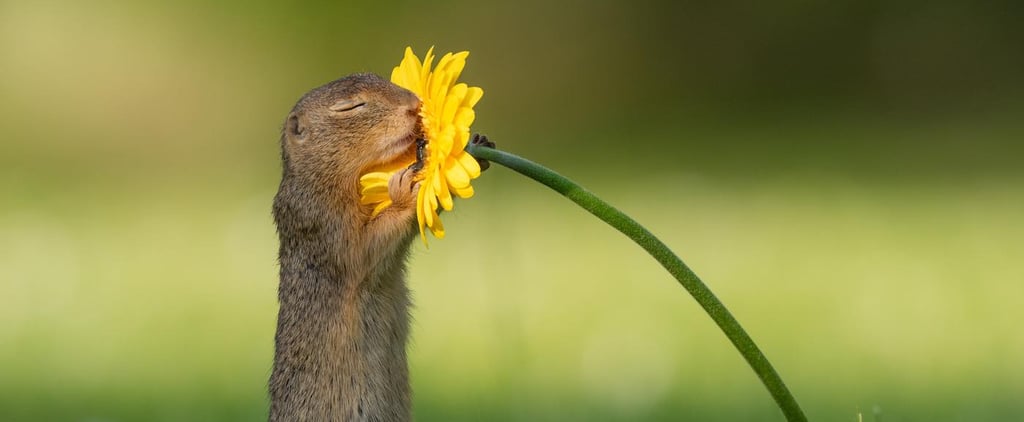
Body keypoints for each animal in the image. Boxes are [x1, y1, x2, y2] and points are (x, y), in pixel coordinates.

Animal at [268, 73, 491, 422]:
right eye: (350, 106)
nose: (414, 105)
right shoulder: (322, 222)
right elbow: (365, 249)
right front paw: (409, 188)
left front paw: (477, 147)